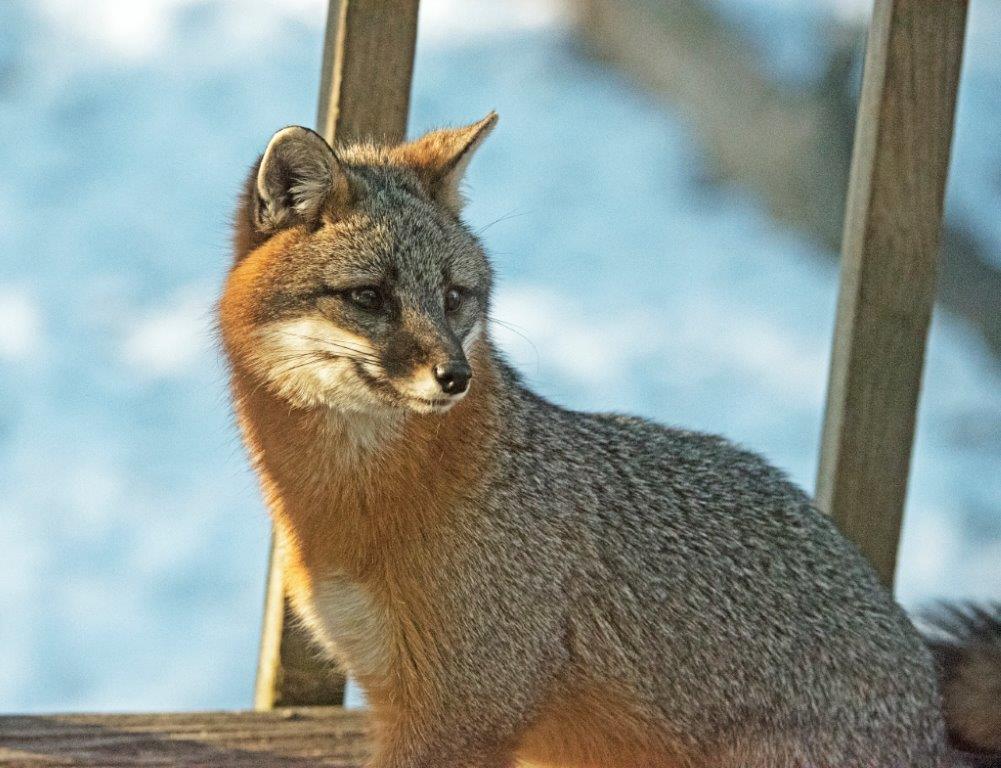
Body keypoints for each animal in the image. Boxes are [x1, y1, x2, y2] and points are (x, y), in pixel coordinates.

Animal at [219, 113, 1001, 768]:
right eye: (369, 297)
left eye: (453, 297)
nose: (455, 376)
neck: (349, 510)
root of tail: (930, 732)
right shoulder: (402, 700)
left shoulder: (463, 709)